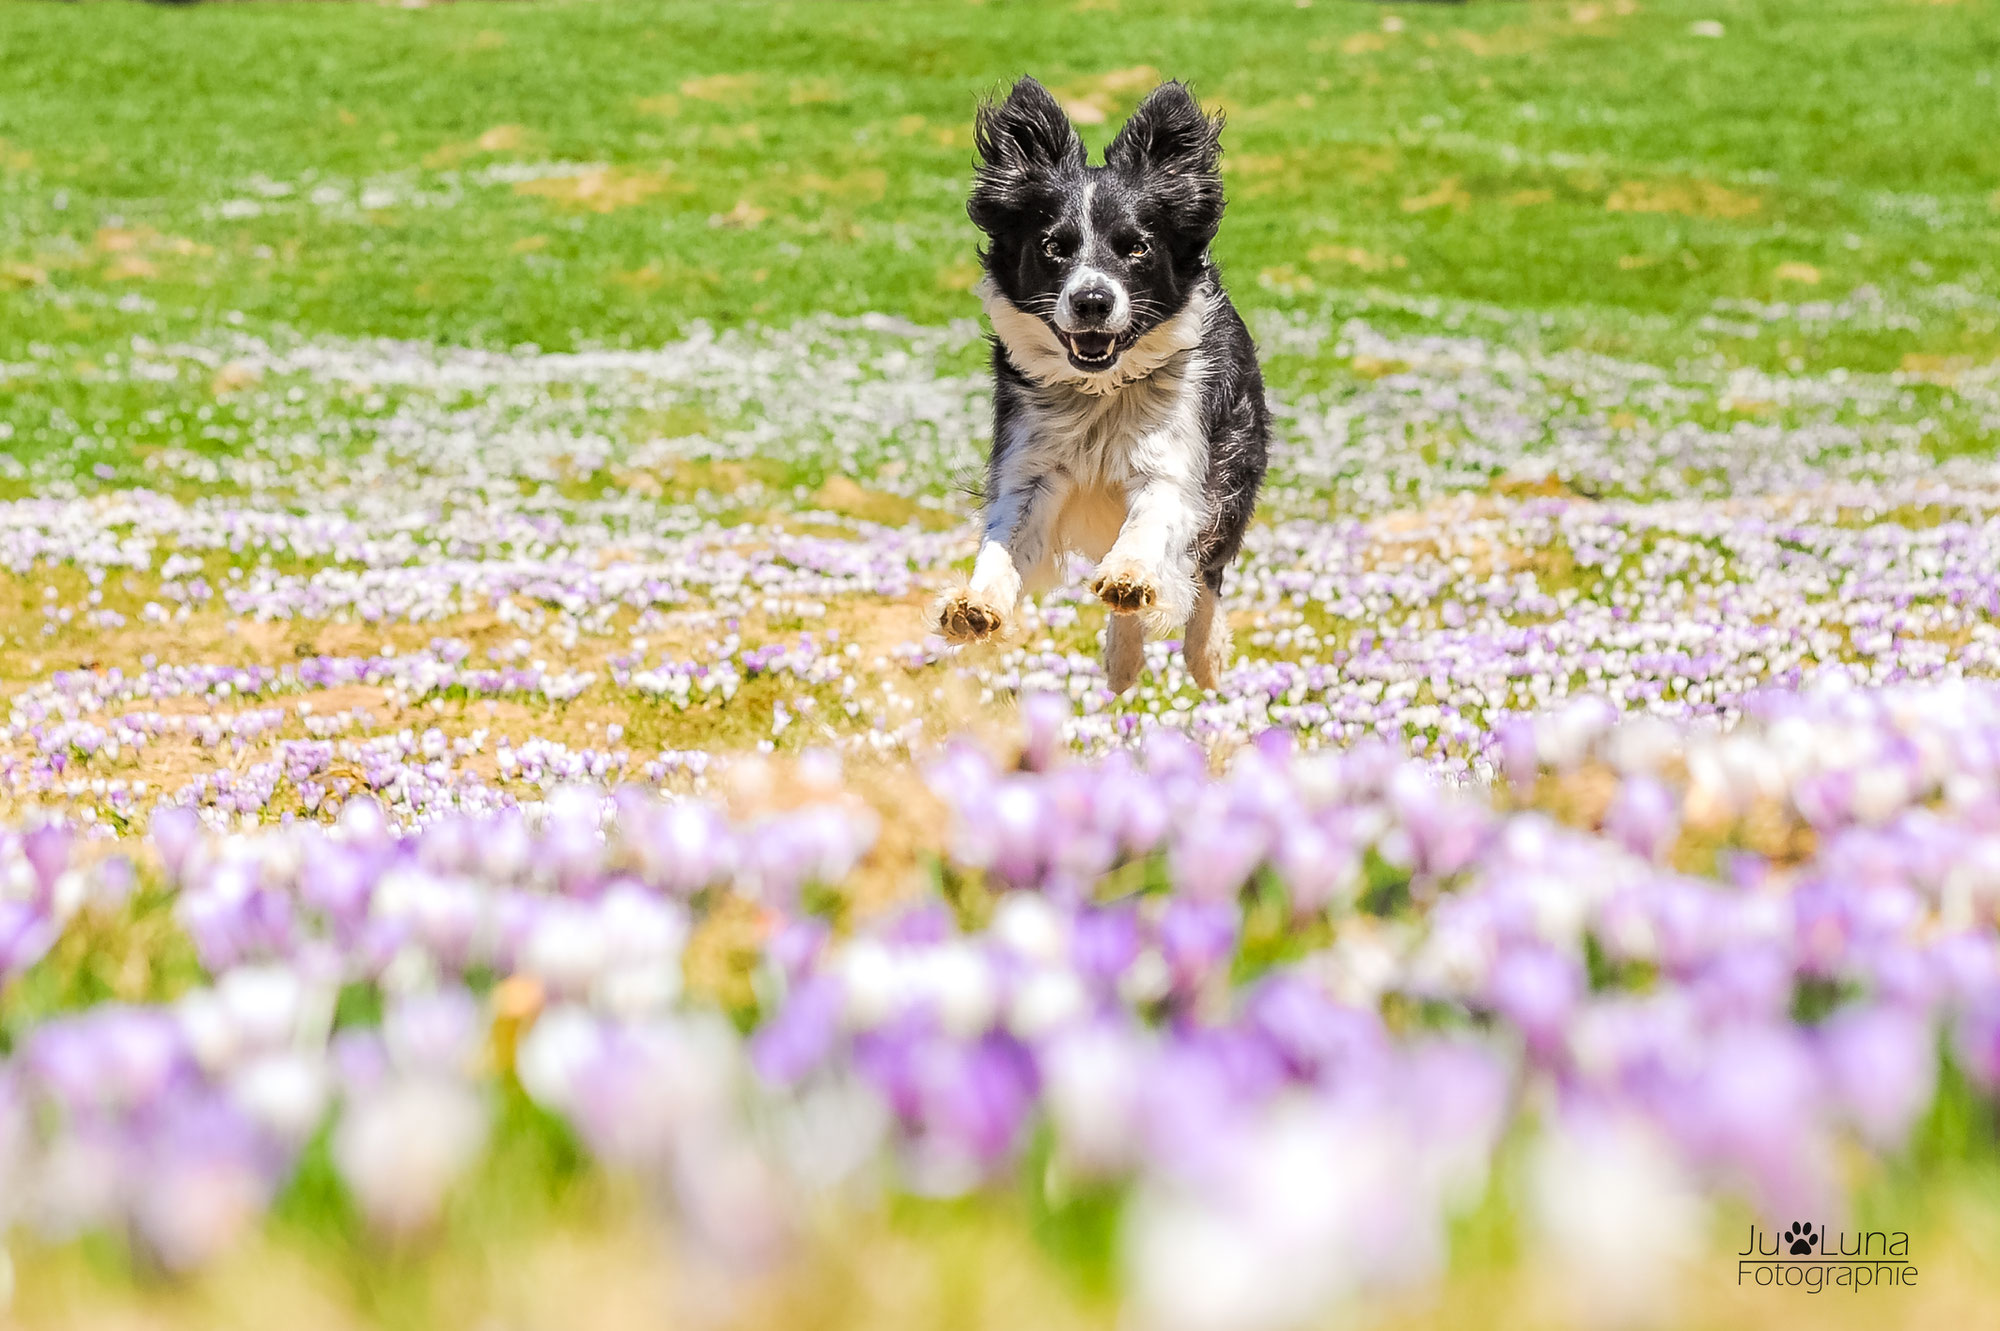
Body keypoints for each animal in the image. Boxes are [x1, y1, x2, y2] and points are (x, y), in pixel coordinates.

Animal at [932, 78, 1264, 695]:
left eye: (1136, 247)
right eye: (1053, 247)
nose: (1092, 300)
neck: (1101, 391)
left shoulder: (1178, 459)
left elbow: (1152, 522)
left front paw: (1132, 575)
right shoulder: (1030, 464)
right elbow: (1004, 536)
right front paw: (976, 603)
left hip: (1235, 462)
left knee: (1205, 570)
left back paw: (1201, 652)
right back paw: (1123, 659)